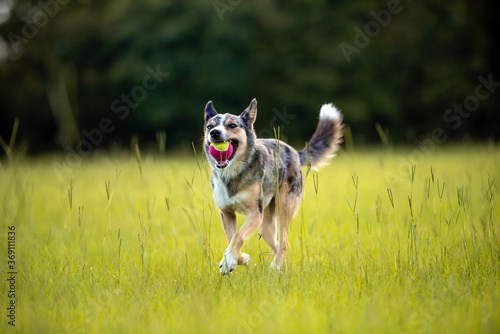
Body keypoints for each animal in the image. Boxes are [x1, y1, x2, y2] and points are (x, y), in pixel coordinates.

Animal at [203, 98, 344, 274]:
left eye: (232, 125)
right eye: (210, 126)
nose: (215, 132)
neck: (233, 173)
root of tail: (294, 152)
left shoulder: (255, 213)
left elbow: (238, 236)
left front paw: (229, 261)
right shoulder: (227, 213)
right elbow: (232, 239)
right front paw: (237, 260)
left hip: (283, 208)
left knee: (284, 244)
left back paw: (276, 267)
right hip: (266, 226)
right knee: (277, 244)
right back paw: (278, 267)